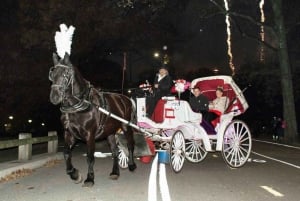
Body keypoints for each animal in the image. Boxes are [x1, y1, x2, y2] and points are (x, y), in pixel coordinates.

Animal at [49, 53, 137, 187]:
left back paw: (132, 165)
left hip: (126, 126)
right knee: (115, 151)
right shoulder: (69, 133)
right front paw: (74, 174)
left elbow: (90, 156)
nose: (54, 97)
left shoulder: (89, 134)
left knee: (130, 144)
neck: (79, 105)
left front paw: (89, 178)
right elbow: (66, 153)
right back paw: (115, 172)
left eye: (66, 74)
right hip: (110, 132)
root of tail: (125, 98)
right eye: (52, 75)